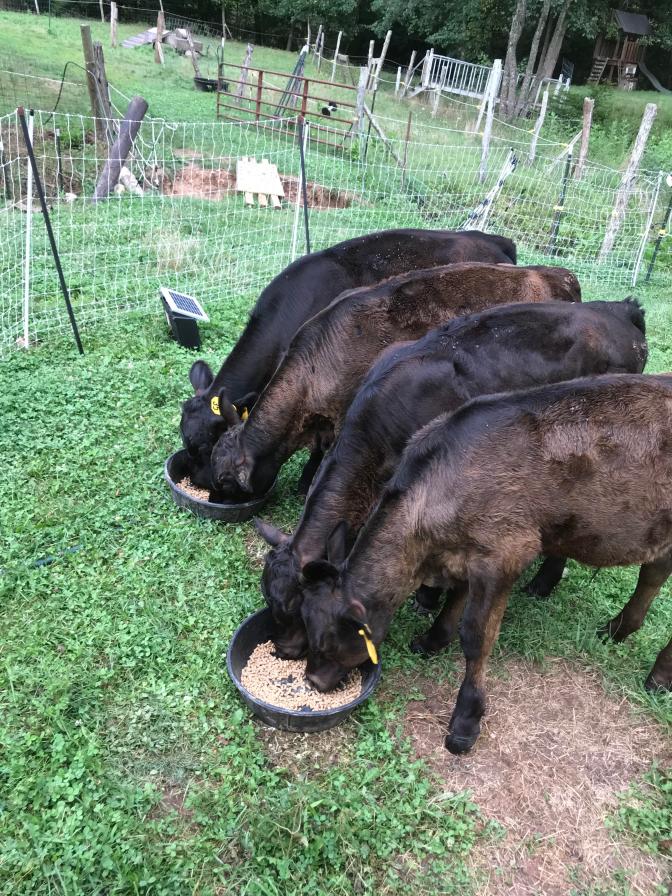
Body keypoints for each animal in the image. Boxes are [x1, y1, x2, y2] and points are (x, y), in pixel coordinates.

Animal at [254, 299, 648, 659]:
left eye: (295, 608)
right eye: (270, 601)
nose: (281, 651)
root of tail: (621, 310)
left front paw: (428, 597)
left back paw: (542, 584)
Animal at [298, 373, 672, 756]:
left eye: (326, 642)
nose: (312, 680)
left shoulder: (505, 553)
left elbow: (476, 637)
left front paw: (466, 720)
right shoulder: (467, 553)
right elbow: (456, 598)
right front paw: (432, 640)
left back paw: (658, 676)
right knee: (653, 573)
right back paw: (618, 630)